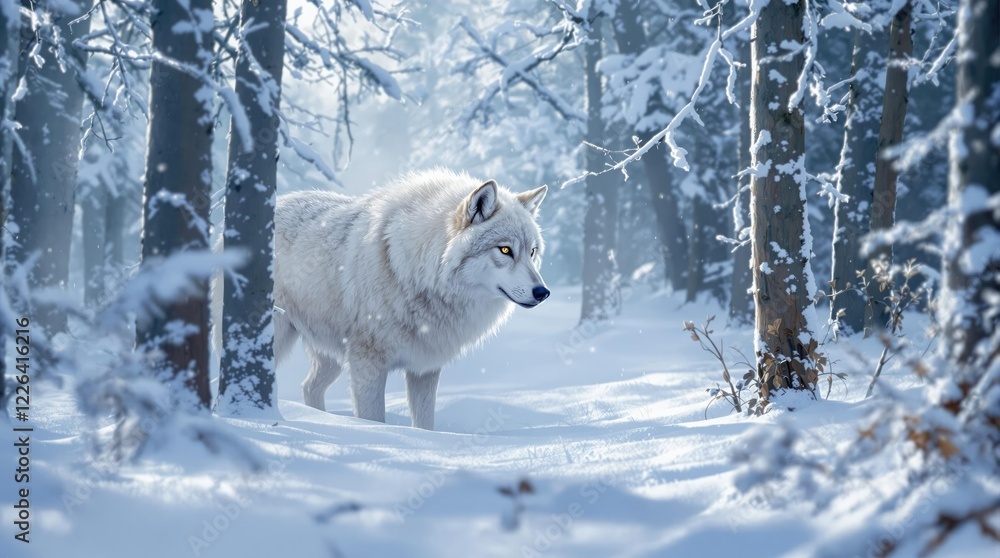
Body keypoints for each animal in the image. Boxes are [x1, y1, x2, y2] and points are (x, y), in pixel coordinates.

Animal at [216, 169, 550, 430]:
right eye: (505, 250)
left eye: (532, 252)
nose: (542, 292)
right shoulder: (368, 363)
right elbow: (374, 420)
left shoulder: (425, 367)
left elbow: (425, 425)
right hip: (273, 339)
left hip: (331, 356)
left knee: (308, 386)